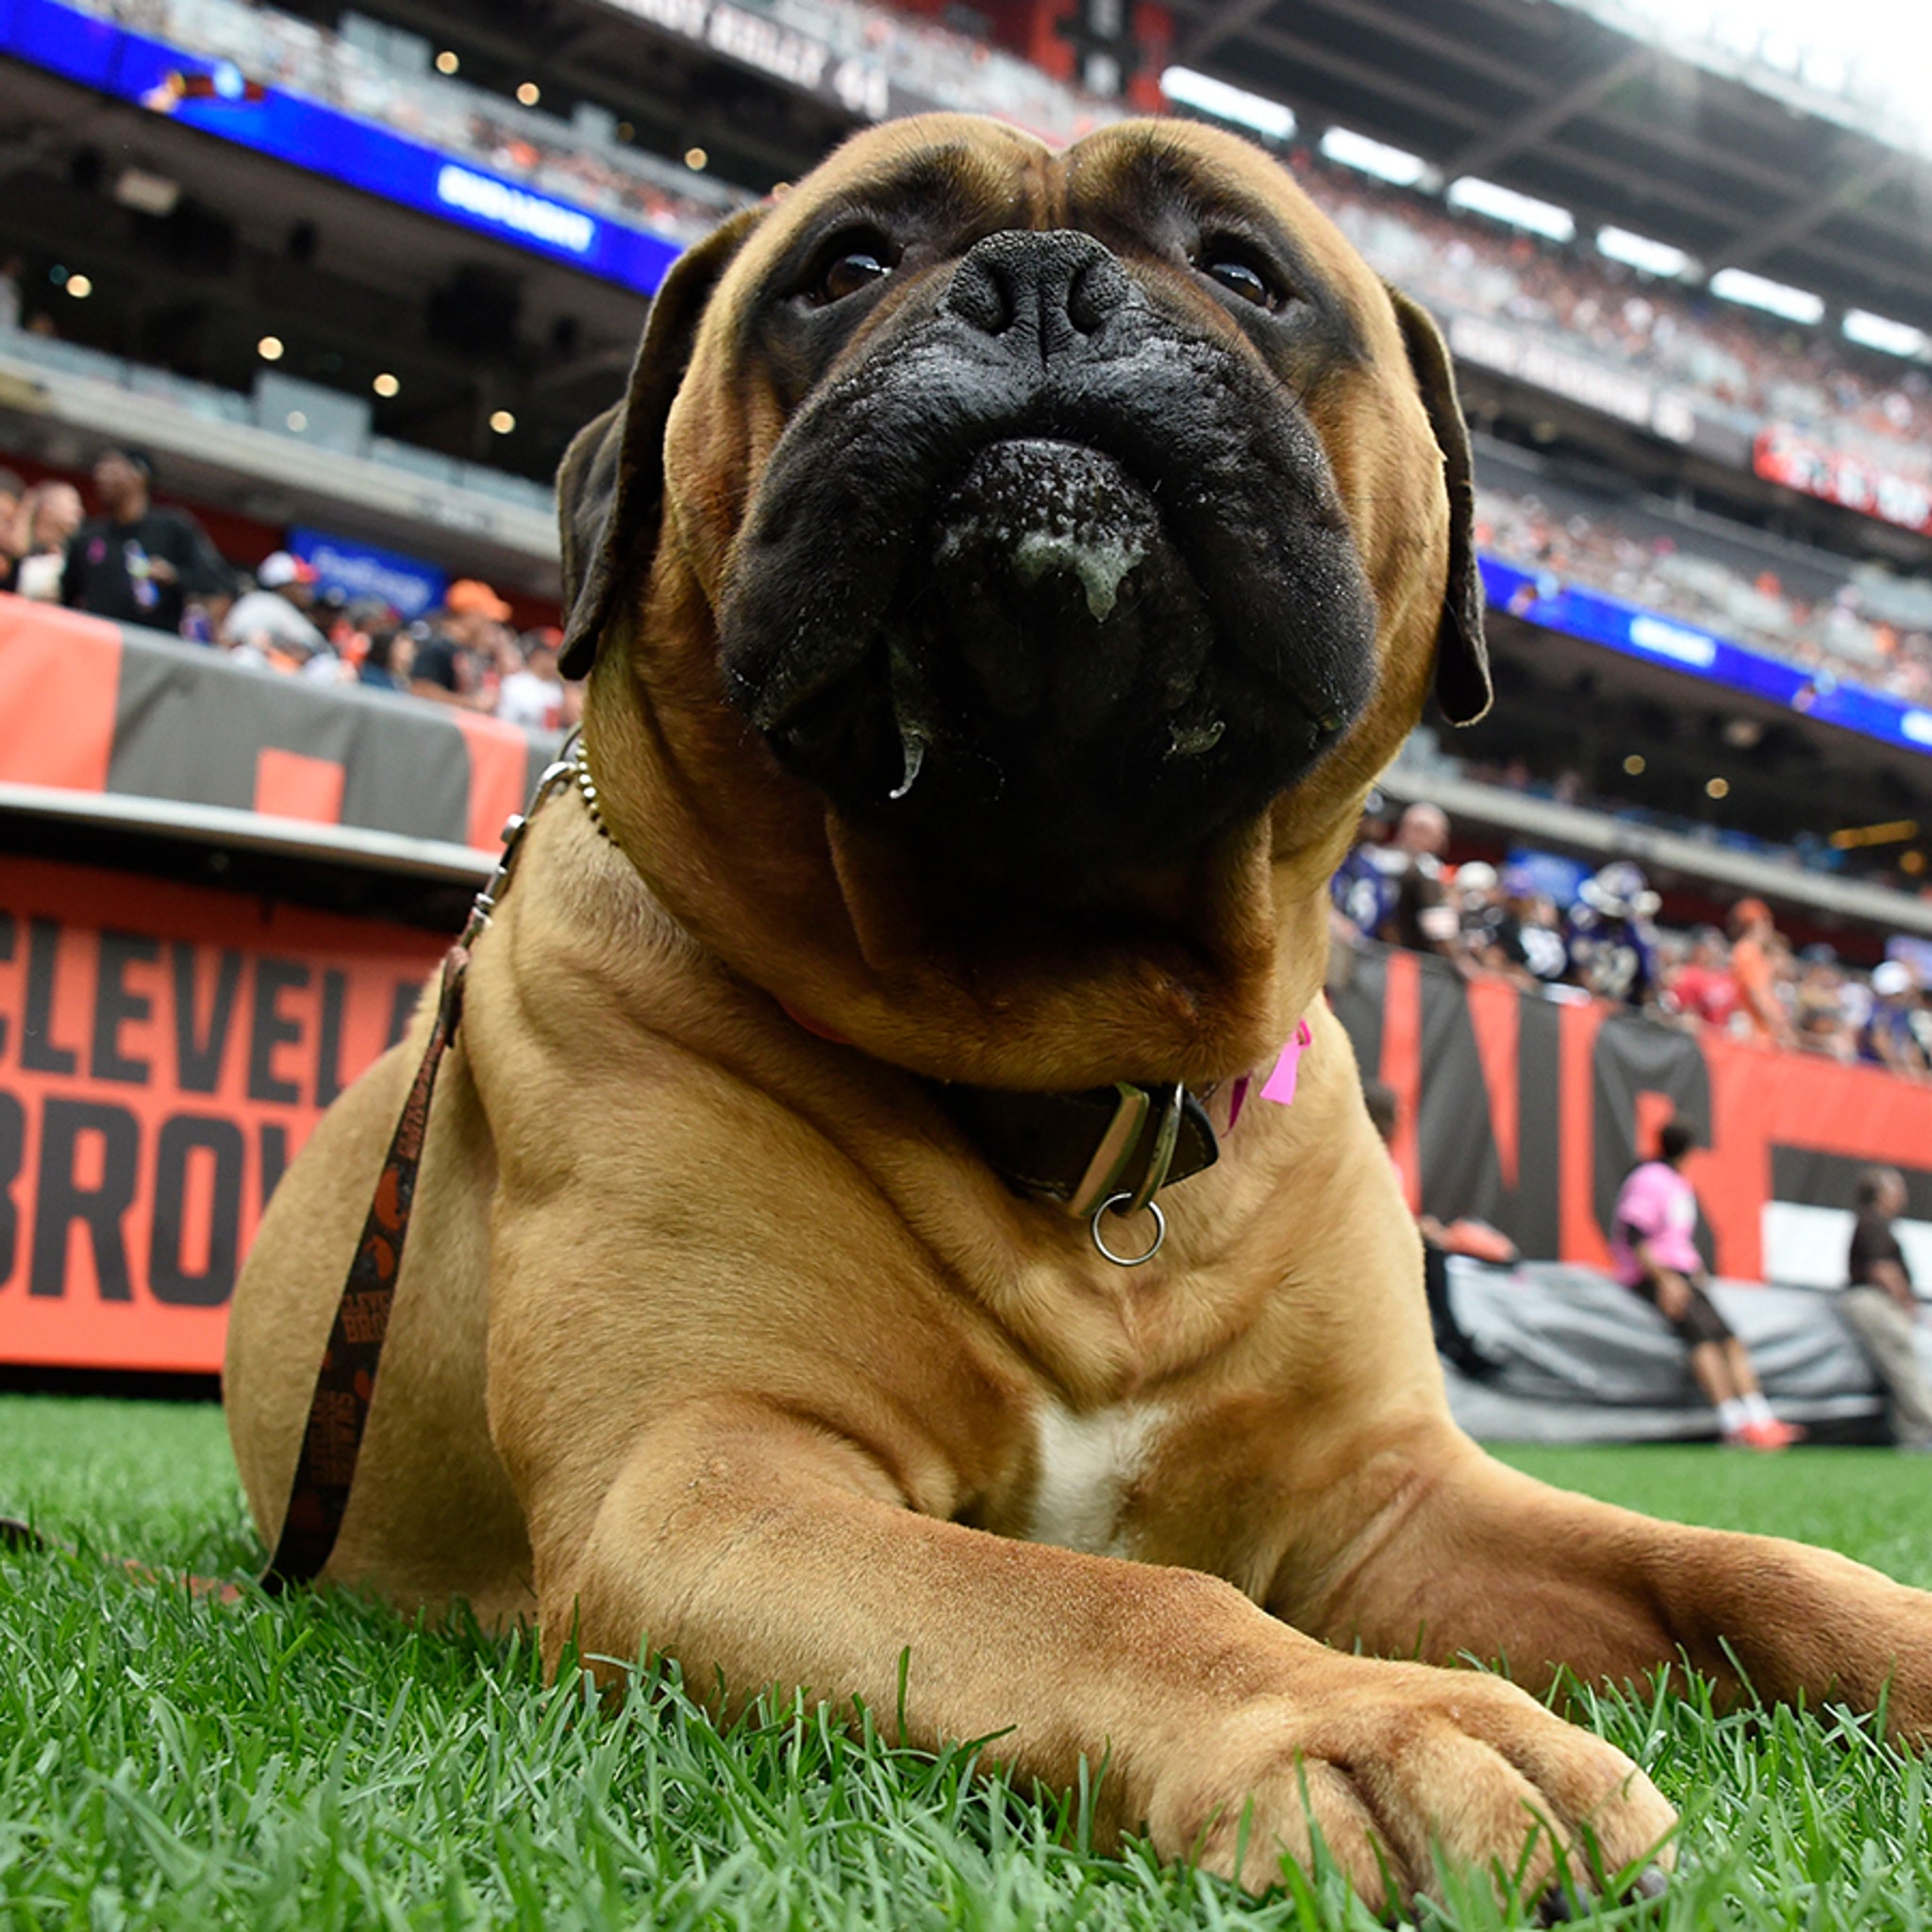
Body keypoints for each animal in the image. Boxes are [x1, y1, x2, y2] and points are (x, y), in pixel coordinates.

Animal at [225, 112, 1932, 1908]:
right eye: (844, 262)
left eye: (1244, 265)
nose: (1041, 283)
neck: (1078, 1056)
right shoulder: (705, 1476)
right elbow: (1107, 1594)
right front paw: (1367, 1720)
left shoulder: (1388, 1502)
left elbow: (1729, 1564)